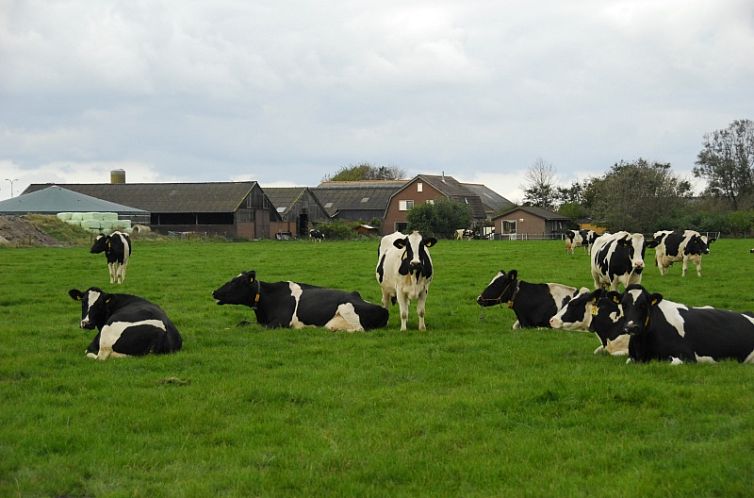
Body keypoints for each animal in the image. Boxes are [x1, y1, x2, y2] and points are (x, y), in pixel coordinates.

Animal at [212, 270, 388, 332]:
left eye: (236, 283)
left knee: (358, 329)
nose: (214, 292)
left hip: (347, 308)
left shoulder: (281, 322)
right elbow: (242, 323)